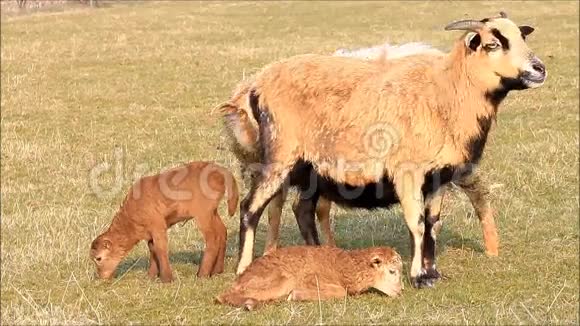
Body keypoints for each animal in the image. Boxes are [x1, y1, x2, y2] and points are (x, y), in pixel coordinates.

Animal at [89, 162, 238, 282]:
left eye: (98, 258)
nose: (101, 277)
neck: (130, 220)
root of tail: (221, 170)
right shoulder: (150, 232)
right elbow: (152, 249)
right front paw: (151, 276)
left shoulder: (158, 226)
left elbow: (160, 248)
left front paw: (166, 279)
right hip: (212, 211)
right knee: (222, 231)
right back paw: (217, 270)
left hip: (203, 214)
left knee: (212, 238)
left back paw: (202, 274)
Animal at [216, 246, 404, 310]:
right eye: (392, 271)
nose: (401, 291)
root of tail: (241, 278)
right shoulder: (312, 279)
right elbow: (341, 292)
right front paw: (296, 295)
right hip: (280, 280)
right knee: (222, 296)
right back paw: (250, 304)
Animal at [233, 13, 548, 288]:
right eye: (492, 44)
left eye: (522, 37)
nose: (539, 69)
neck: (448, 91)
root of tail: (256, 85)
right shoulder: (407, 170)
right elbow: (417, 222)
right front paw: (418, 277)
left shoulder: (439, 175)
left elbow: (433, 224)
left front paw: (434, 273)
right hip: (280, 154)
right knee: (250, 207)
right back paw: (243, 268)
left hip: (311, 167)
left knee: (302, 210)